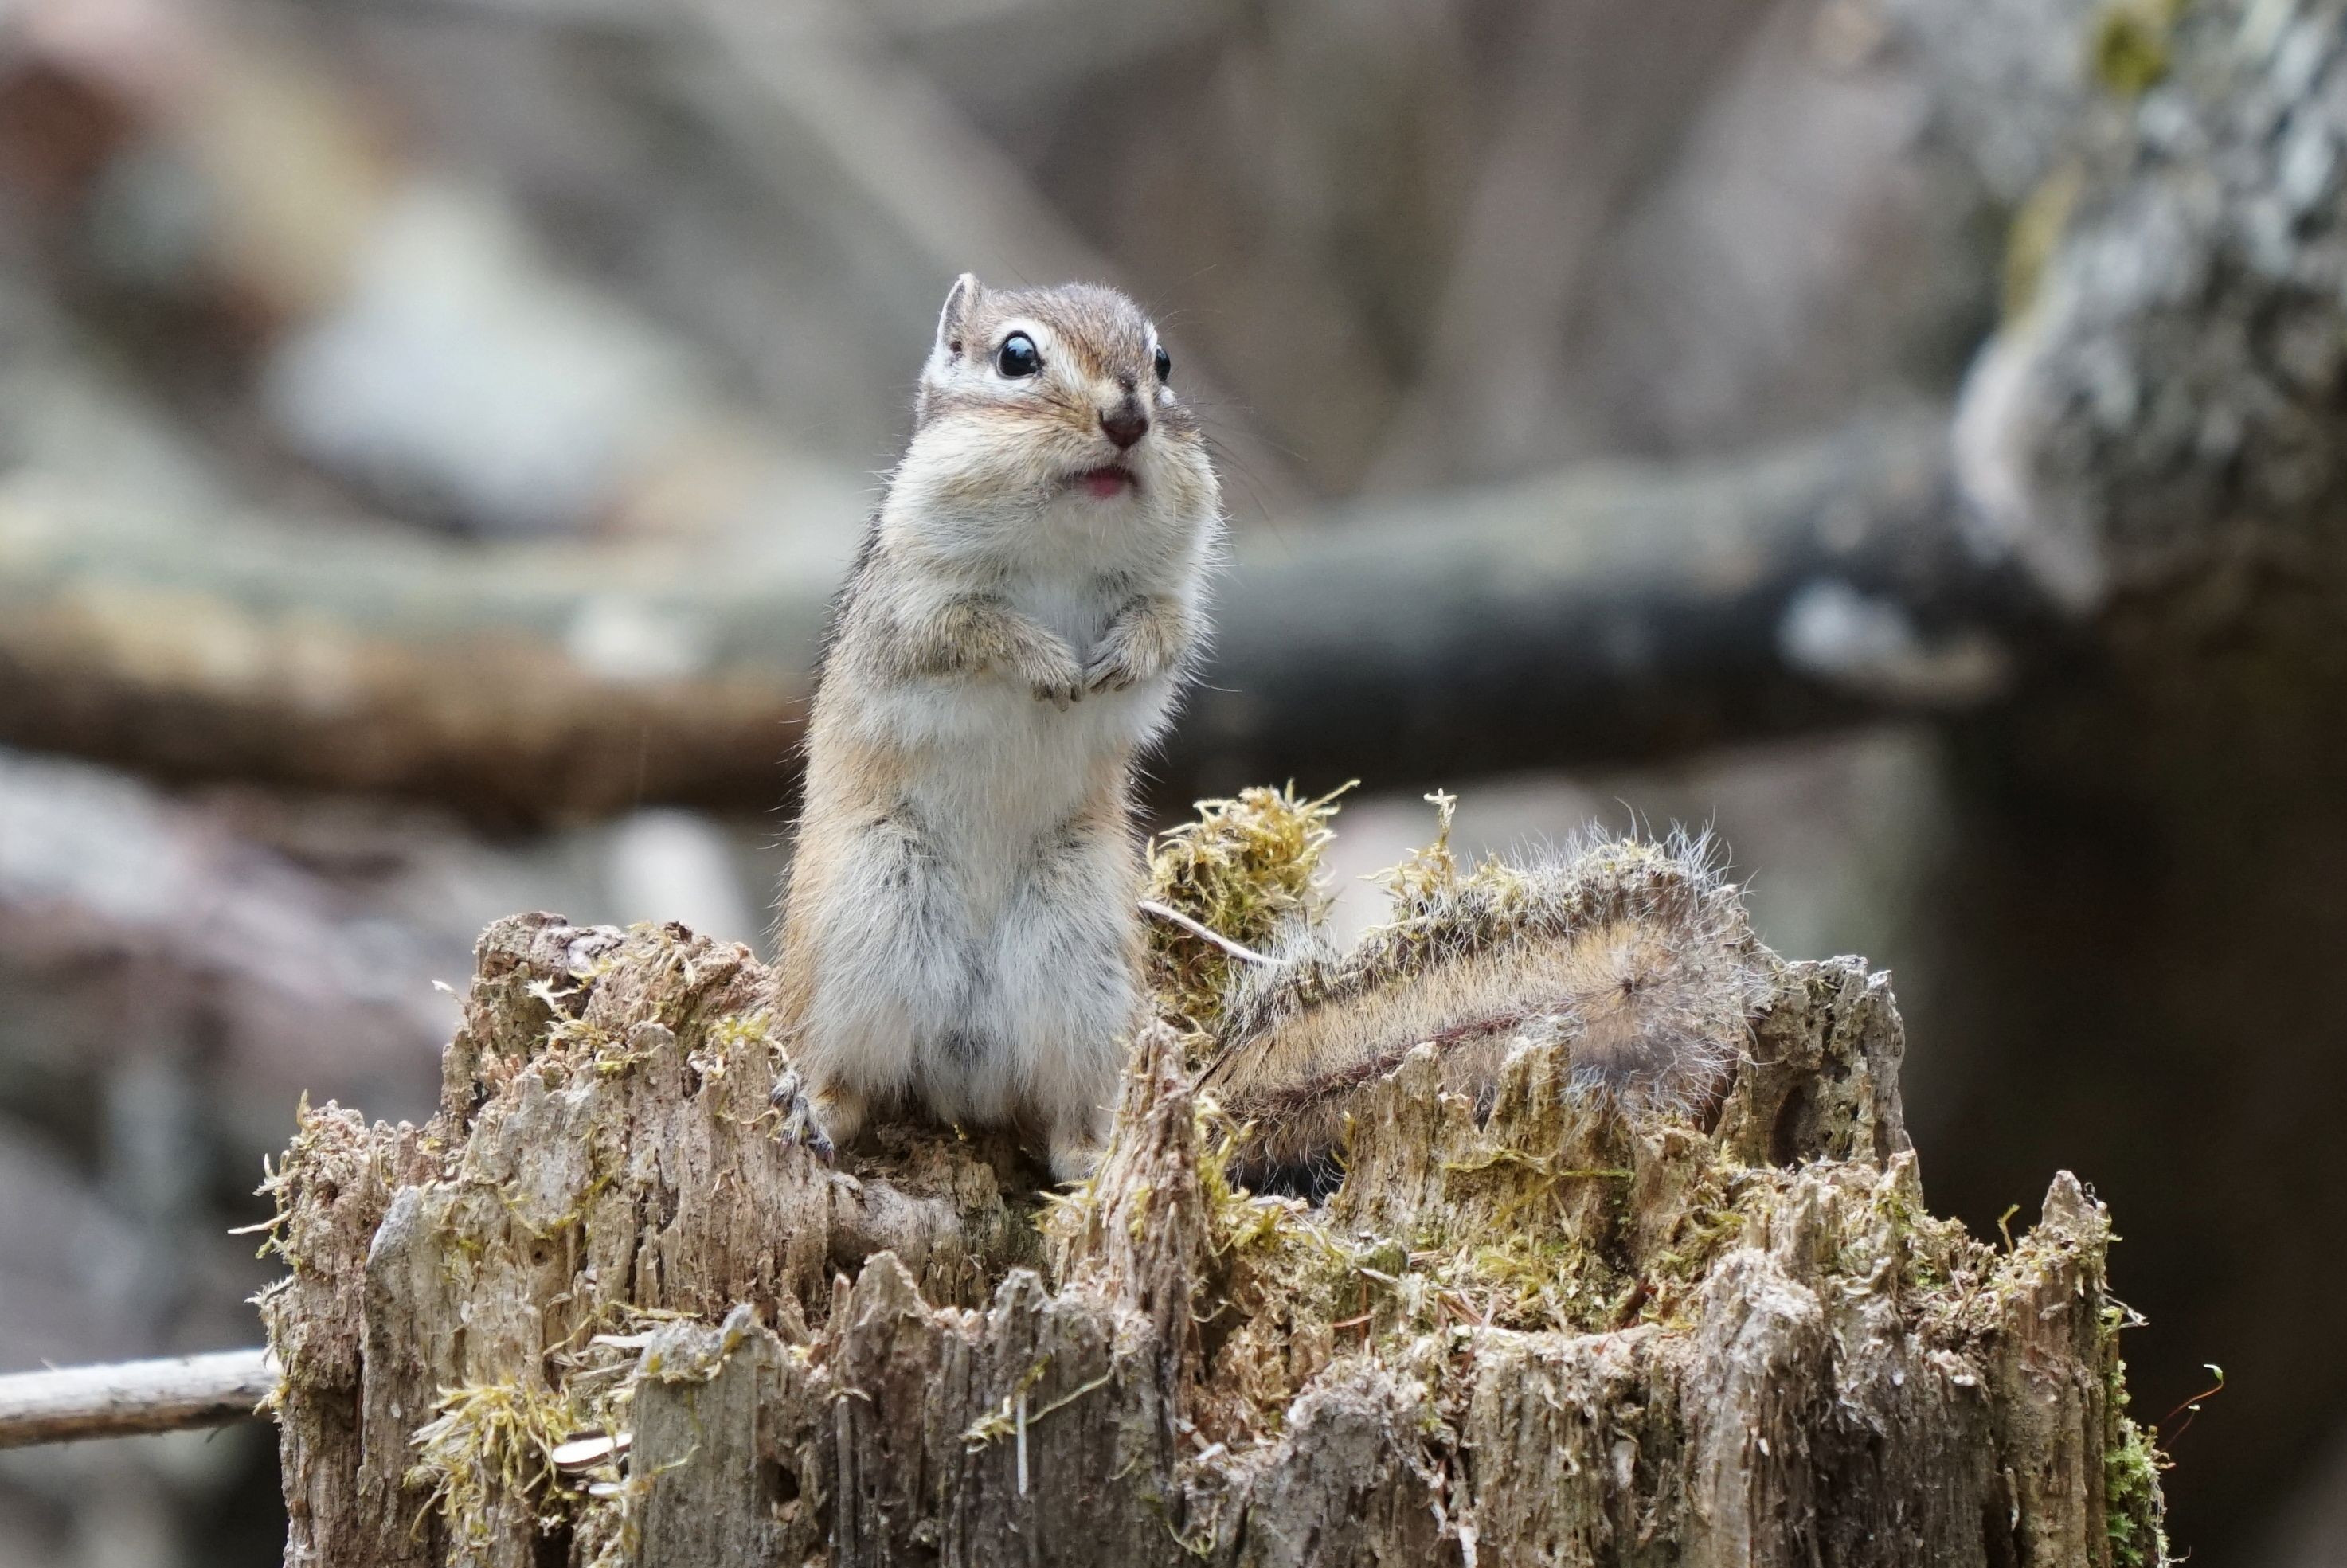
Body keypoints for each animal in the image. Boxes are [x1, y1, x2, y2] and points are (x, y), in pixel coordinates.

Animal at [771, 274, 1221, 1182]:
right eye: (1016, 356)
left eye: (1160, 362)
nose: (1129, 418)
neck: (1065, 551)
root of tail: (962, 1075)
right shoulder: (915, 608)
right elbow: (974, 629)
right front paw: (1049, 664)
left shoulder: (1177, 594)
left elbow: (1164, 633)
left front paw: (1115, 658)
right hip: (866, 914)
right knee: (852, 1078)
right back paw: (817, 1112)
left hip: (1085, 955)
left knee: (1061, 1114)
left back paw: (1094, 1161)